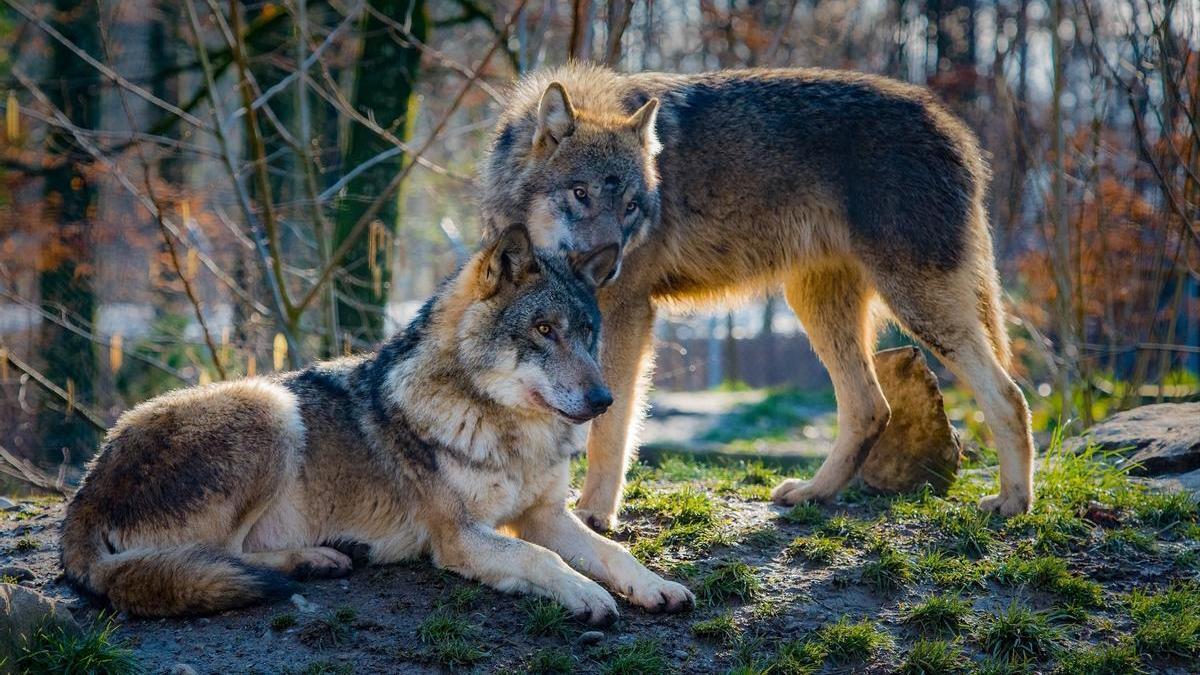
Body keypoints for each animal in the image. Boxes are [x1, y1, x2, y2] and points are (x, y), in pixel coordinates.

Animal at [60, 225, 694, 620]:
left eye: (587, 333)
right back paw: (315, 559)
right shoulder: (459, 536)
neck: (507, 431)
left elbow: (611, 553)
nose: (604, 398)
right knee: (220, 557)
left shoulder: (544, 515)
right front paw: (587, 596)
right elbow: (543, 559)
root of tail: (85, 491)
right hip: (271, 407)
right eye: (543, 330)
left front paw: (655, 586)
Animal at [481, 64, 1036, 531]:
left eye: (632, 207)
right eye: (581, 194)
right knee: (871, 408)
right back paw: (813, 493)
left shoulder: (626, 313)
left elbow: (610, 425)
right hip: (818, 306)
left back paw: (1013, 503)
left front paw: (595, 514)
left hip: (917, 305)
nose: (608, 264)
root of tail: (956, 129)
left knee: (1008, 395)